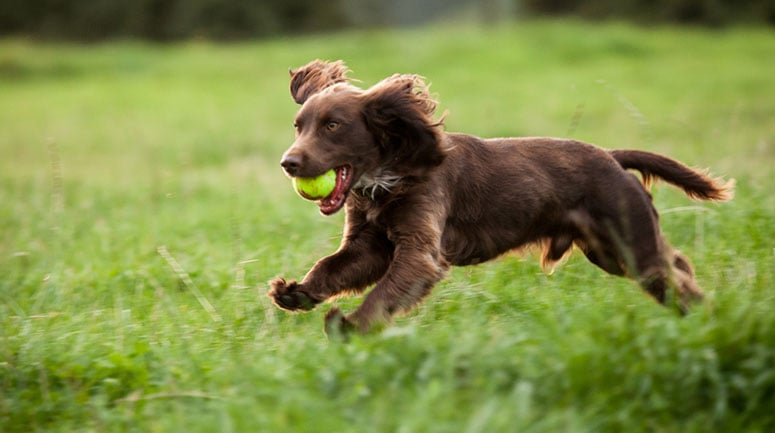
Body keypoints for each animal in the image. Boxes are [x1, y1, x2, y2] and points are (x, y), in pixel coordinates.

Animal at [268, 60, 732, 338]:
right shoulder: (369, 245)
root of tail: (612, 157)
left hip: (631, 245)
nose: (288, 163)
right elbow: (331, 267)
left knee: (674, 276)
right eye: (298, 126)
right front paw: (297, 292)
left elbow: (384, 293)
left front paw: (349, 326)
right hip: (610, 253)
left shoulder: (420, 251)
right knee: (677, 265)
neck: (391, 174)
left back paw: (712, 318)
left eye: (333, 125)